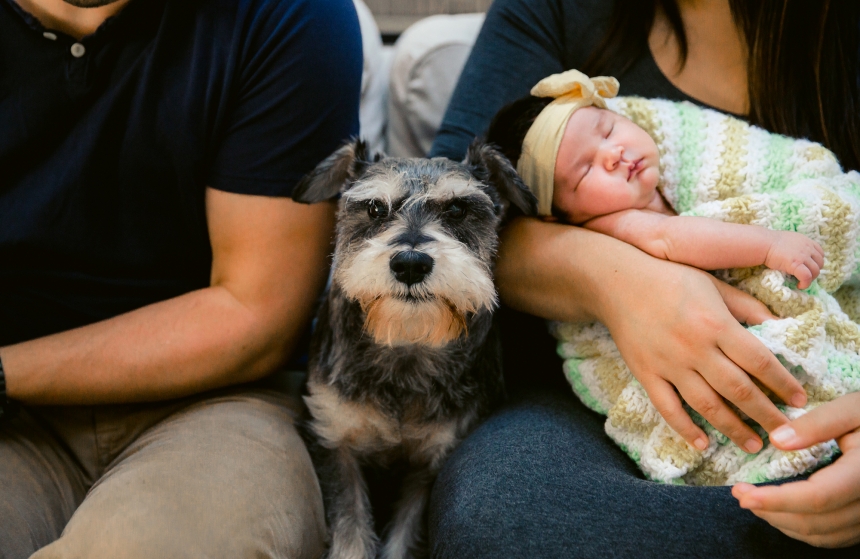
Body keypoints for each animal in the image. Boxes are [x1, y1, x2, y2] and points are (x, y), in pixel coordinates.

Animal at [296, 139, 536, 559]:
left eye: (457, 209)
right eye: (375, 208)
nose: (410, 263)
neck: (407, 345)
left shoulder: (430, 464)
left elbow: (403, 538)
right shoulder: (335, 440)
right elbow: (351, 534)